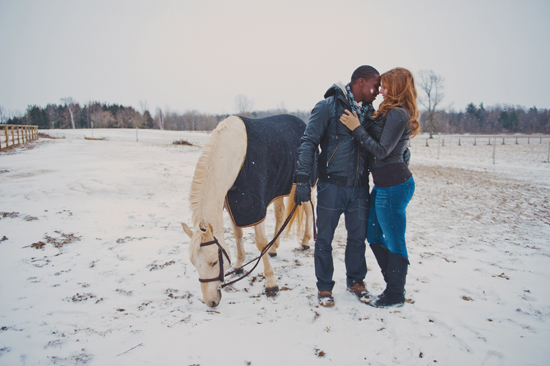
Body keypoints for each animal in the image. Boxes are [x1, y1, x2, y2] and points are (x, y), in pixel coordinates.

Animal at [182, 113, 314, 306]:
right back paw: (274, 249)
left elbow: (260, 241)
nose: (211, 302)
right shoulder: (233, 206)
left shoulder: (255, 206)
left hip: (304, 187)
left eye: (214, 262)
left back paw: (305, 242)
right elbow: (238, 235)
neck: (234, 157)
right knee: (280, 214)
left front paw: (271, 284)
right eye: (194, 264)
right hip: (280, 188)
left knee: (309, 211)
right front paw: (238, 266)